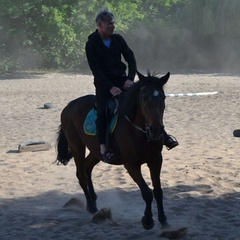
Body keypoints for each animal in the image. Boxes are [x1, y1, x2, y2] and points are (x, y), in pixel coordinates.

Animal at [56, 71, 170, 231]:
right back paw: (92, 207)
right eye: (144, 98)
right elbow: (147, 193)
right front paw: (147, 221)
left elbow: (158, 191)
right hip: (76, 146)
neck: (139, 130)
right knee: (81, 174)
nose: (156, 130)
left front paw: (163, 220)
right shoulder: (131, 164)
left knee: (87, 167)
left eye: (163, 97)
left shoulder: (156, 160)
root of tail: (68, 106)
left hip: (96, 151)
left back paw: (93, 200)